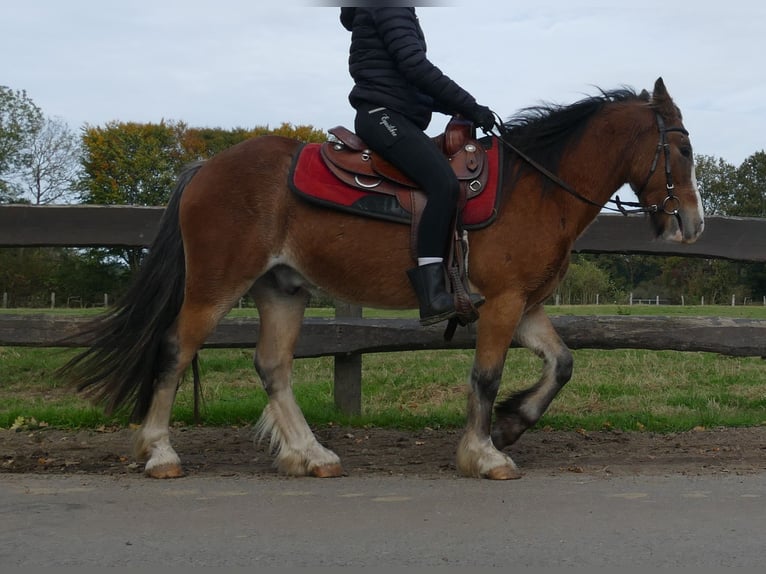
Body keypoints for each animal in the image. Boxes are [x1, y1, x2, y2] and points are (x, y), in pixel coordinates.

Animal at [61, 76, 708, 482]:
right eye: (680, 148)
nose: (692, 222)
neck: (536, 188)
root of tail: (205, 167)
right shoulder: (501, 305)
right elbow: (486, 376)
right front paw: (484, 454)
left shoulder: (523, 306)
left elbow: (562, 364)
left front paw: (511, 425)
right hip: (215, 286)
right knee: (175, 349)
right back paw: (160, 453)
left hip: (282, 289)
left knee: (273, 366)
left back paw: (309, 454)